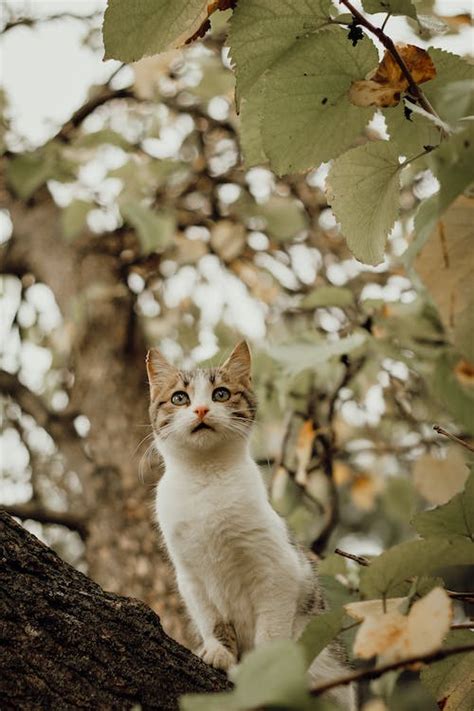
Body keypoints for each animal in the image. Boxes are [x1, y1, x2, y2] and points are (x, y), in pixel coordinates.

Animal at [146, 342, 354, 708]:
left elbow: (270, 632)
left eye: (221, 393)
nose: (201, 409)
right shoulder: (191, 577)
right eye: (179, 398)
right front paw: (218, 651)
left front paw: (262, 672)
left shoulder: (277, 570)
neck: (206, 479)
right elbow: (211, 620)